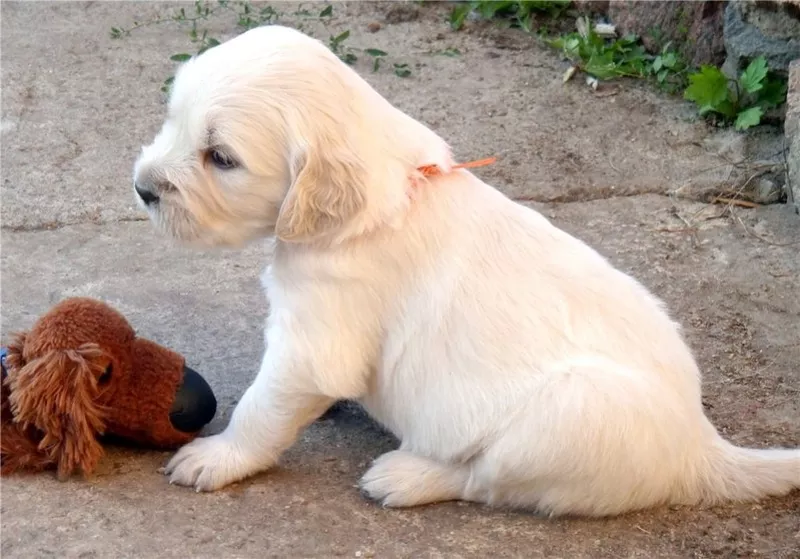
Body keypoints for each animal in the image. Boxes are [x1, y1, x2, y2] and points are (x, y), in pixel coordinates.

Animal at [133, 25, 800, 516]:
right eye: (171, 119)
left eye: (221, 158)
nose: (142, 189)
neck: (380, 195)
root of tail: (701, 447)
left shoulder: (316, 338)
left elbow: (263, 406)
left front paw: (218, 457)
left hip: (568, 417)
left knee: (486, 479)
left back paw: (405, 476)